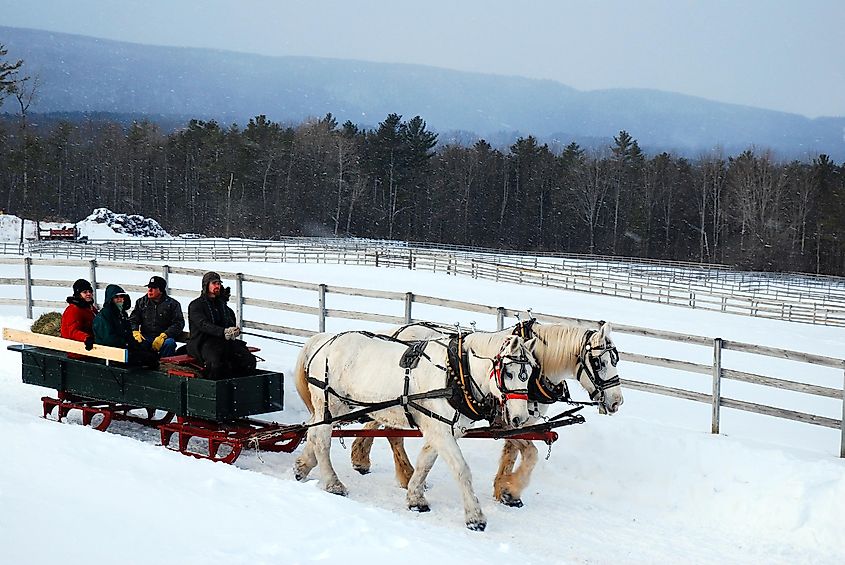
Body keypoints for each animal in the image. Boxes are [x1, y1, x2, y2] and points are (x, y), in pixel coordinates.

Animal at [294, 330, 536, 528]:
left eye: (529, 374)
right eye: (509, 373)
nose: (520, 418)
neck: (456, 373)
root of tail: (325, 340)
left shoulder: (442, 429)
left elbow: (424, 463)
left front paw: (415, 498)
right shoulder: (441, 431)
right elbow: (461, 469)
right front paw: (475, 517)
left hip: (335, 408)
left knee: (313, 432)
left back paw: (303, 466)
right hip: (331, 403)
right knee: (322, 440)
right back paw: (333, 483)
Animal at [348, 318, 620, 506]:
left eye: (615, 360)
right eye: (599, 362)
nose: (617, 401)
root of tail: (399, 331)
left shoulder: (520, 420)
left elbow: (513, 452)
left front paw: (505, 489)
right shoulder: (506, 420)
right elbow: (530, 453)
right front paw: (512, 488)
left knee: (380, 423)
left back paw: (365, 459)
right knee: (390, 431)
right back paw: (398, 473)